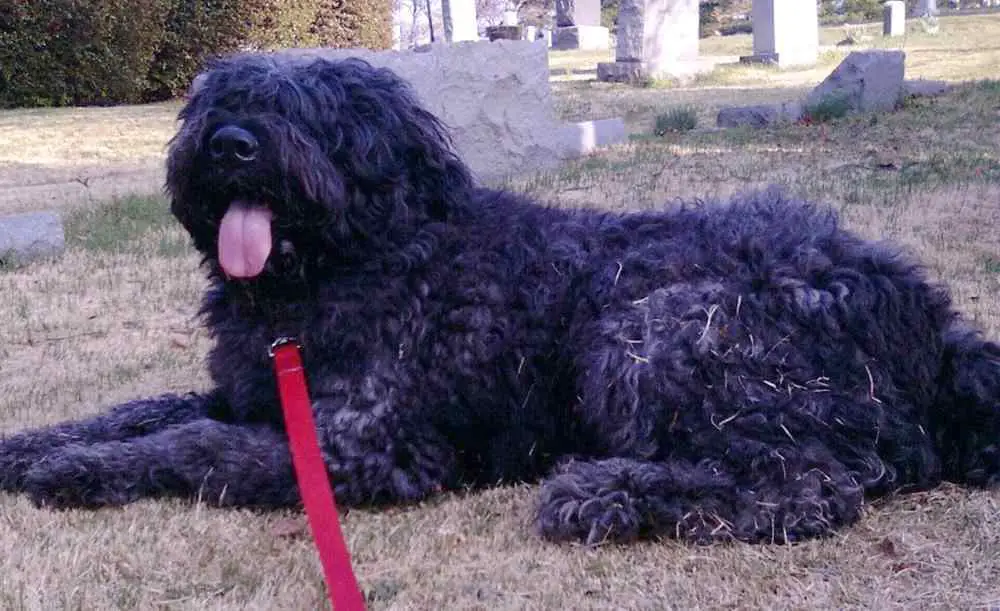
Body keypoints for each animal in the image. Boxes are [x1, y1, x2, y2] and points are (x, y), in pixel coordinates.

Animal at [1, 55, 1000, 548]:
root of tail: (934, 325)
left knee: (808, 486)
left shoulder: (366, 447)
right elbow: (144, 407)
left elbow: (189, 443)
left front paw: (75, 470)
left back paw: (609, 494)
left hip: (655, 331)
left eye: (312, 109)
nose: (233, 144)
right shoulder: (246, 388)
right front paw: (33, 444)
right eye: (216, 101)